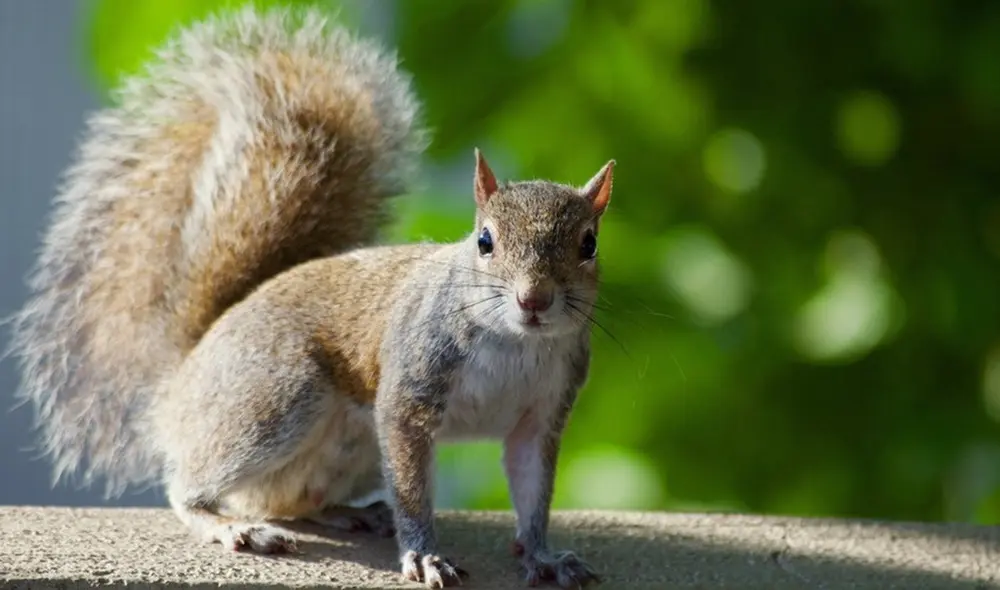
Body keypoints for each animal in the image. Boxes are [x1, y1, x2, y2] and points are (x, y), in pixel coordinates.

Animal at [9, 6, 612, 589]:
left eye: (589, 243)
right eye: (484, 241)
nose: (534, 299)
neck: (514, 344)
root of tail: (180, 381)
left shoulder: (542, 414)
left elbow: (533, 493)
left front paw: (543, 556)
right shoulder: (410, 390)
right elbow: (413, 490)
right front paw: (423, 555)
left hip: (350, 449)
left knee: (292, 498)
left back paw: (350, 513)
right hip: (273, 398)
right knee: (191, 487)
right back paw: (233, 527)